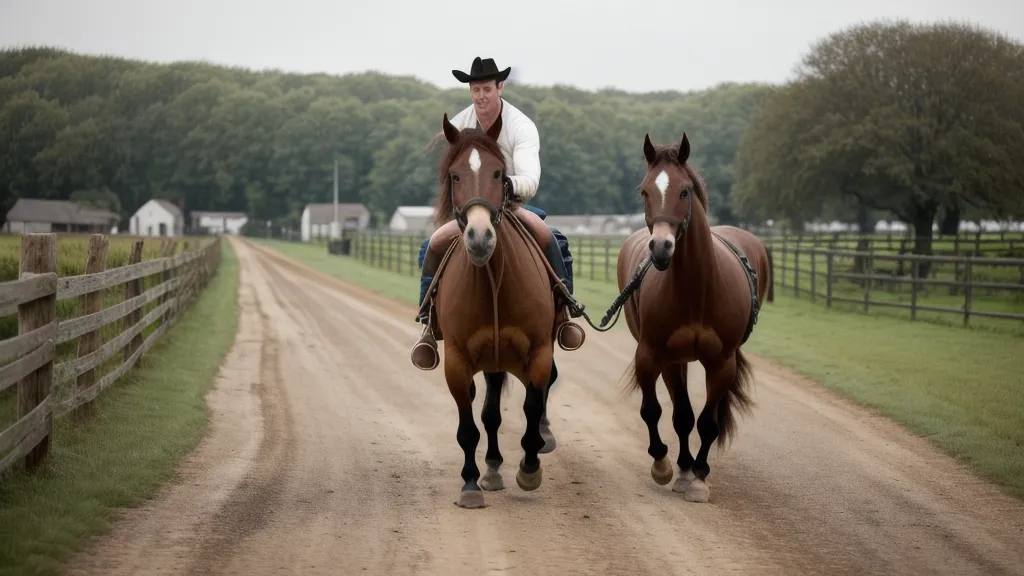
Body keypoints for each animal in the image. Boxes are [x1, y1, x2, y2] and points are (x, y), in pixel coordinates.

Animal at [615, 133, 774, 503]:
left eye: (684, 191)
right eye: (645, 191)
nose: (661, 247)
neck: (698, 289)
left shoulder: (722, 362)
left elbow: (708, 422)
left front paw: (699, 477)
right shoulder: (652, 356)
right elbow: (661, 412)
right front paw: (668, 466)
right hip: (675, 361)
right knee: (680, 413)